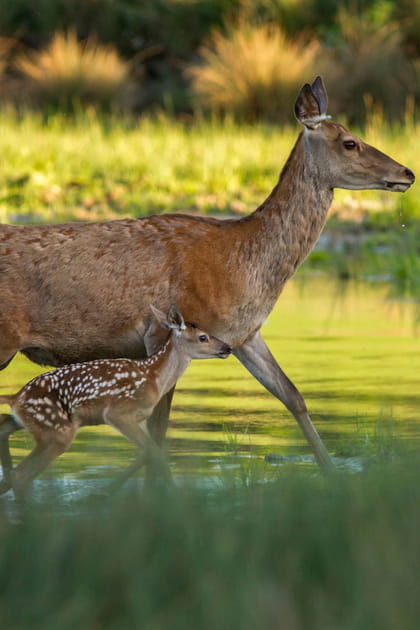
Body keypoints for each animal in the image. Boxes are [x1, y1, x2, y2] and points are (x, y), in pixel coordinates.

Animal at [0, 76, 414, 474]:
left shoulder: (245, 334)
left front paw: (333, 475)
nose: (407, 173)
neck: (246, 264)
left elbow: (294, 397)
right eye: (350, 142)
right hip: (5, 339)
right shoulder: (162, 331)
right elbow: (158, 434)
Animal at [0, 306, 230, 498]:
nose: (227, 347)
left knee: (6, 428)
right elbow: (154, 452)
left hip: (33, 423)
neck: (154, 377)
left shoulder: (138, 418)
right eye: (203, 337)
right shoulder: (118, 412)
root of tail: (17, 396)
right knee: (23, 474)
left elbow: (150, 451)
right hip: (57, 431)